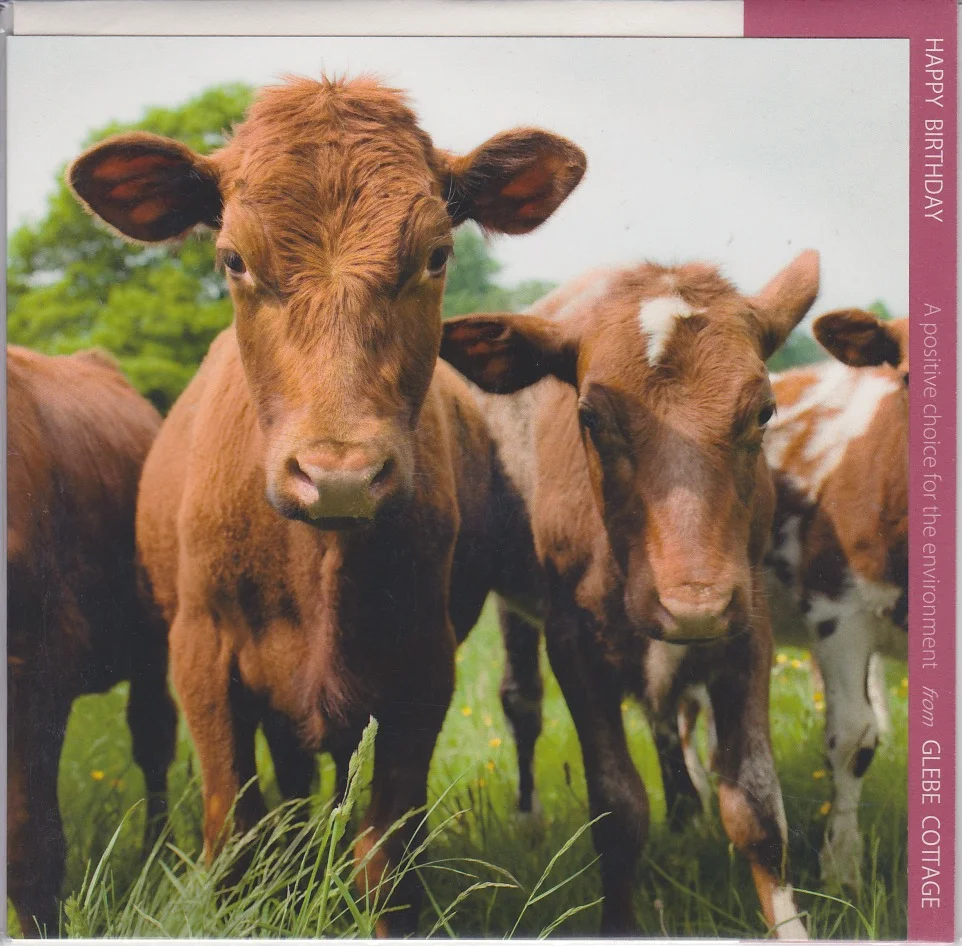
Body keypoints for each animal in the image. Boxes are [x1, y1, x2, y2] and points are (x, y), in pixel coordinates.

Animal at [67, 75, 585, 936]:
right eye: (232, 259)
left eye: (436, 255)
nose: (338, 475)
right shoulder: (202, 655)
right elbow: (235, 834)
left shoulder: (421, 662)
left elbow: (385, 853)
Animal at [440, 251, 819, 938]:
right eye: (590, 417)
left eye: (764, 412)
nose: (693, 604)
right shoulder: (573, 643)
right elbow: (618, 811)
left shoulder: (747, 630)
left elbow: (755, 806)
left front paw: (790, 927)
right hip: (517, 612)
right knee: (522, 703)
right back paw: (530, 814)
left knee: (669, 716)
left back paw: (685, 807)